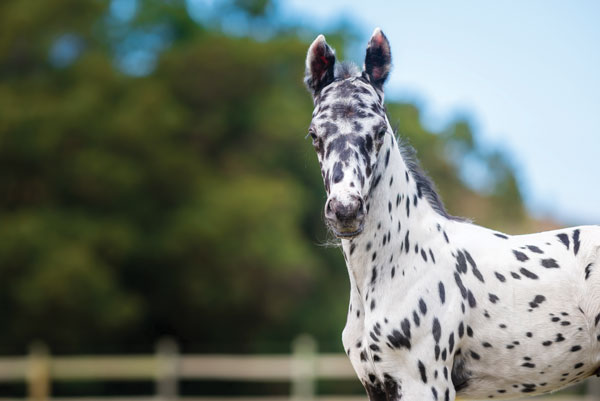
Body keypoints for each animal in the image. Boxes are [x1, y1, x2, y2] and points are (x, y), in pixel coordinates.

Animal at [304, 28, 600, 400]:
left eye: (380, 131)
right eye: (314, 134)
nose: (346, 210)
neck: (403, 261)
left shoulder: (425, 384)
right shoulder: (378, 385)